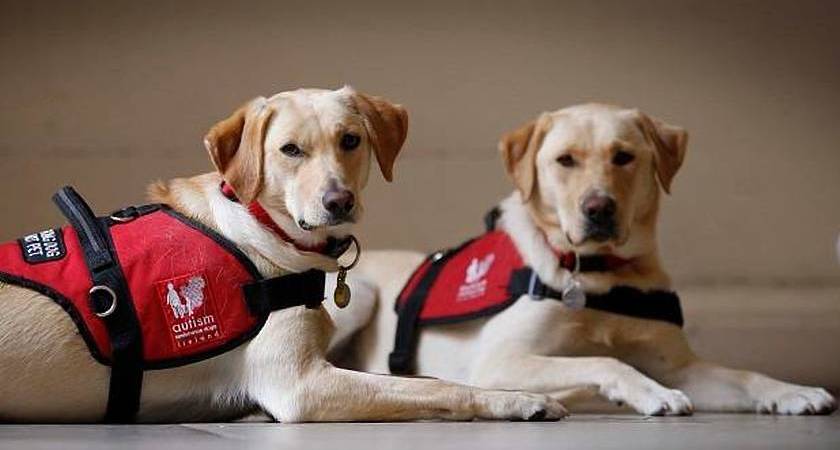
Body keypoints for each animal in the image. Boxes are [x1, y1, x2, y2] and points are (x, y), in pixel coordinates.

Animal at [0, 87, 568, 422]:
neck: (261, 229)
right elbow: (439, 387)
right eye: (290, 150)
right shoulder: (301, 385)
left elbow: (423, 381)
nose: (339, 201)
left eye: (351, 140)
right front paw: (517, 400)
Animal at [332, 103, 836, 416]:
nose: (598, 208)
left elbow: (747, 375)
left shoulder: (680, 368)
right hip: (363, 294)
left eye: (624, 157)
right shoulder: (501, 361)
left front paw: (792, 391)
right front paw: (648, 392)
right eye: (565, 160)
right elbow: (605, 361)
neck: (601, 274)